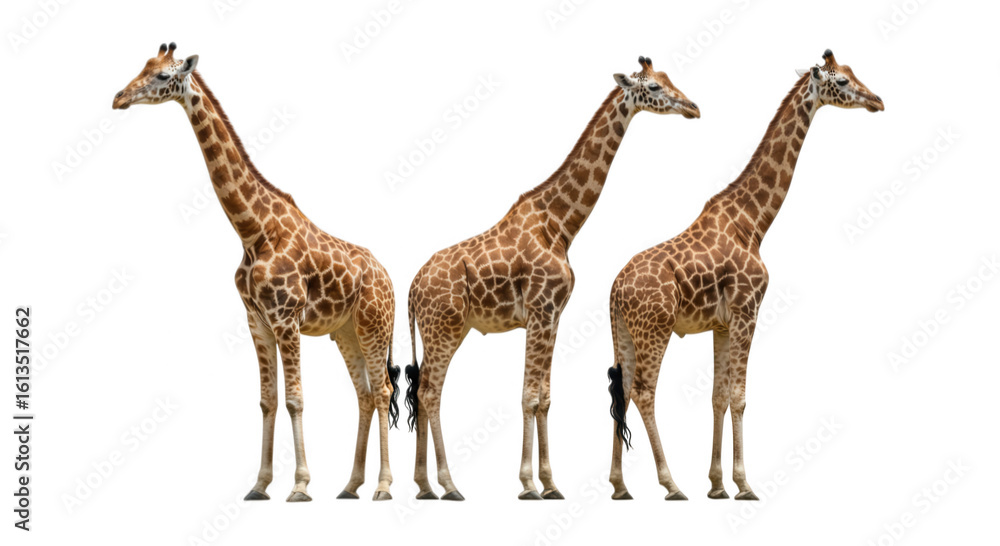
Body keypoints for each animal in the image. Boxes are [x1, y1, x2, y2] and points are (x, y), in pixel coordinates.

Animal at [112, 43, 401, 502]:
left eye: (162, 77)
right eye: (143, 66)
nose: (118, 98)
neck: (252, 231)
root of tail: (388, 276)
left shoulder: (286, 319)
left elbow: (295, 399)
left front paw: (299, 485)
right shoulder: (256, 320)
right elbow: (267, 400)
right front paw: (260, 484)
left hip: (374, 325)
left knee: (384, 390)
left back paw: (384, 486)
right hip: (346, 331)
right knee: (365, 394)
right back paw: (351, 485)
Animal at [404, 57, 700, 501]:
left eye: (668, 79)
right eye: (653, 87)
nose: (693, 108)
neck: (560, 225)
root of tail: (411, 289)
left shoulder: (554, 315)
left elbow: (544, 397)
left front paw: (550, 483)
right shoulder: (540, 311)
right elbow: (528, 396)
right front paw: (527, 483)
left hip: (437, 328)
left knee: (424, 389)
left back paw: (424, 485)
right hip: (446, 326)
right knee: (429, 390)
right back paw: (449, 484)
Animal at [606, 50, 883, 500]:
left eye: (853, 73)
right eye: (841, 81)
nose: (877, 100)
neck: (753, 221)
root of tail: (614, 289)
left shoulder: (721, 323)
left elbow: (717, 396)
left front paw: (717, 484)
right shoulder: (747, 311)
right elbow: (739, 396)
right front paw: (743, 482)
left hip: (624, 333)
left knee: (624, 392)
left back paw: (619, 486)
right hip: (655, 328)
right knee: (645, 393)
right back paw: (670, 484)